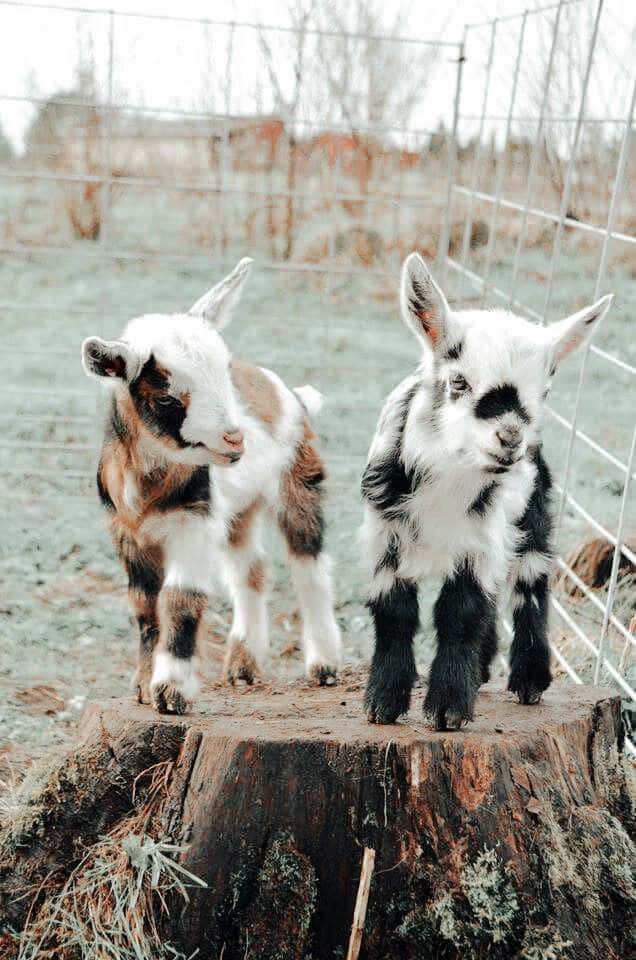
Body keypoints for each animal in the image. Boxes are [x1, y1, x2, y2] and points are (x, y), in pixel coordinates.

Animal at [81, 258, 342, 714]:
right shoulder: (126, 532)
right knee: (252, 570)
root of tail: (290, 393)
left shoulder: (194, 521)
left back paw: (324, 665)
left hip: (299, 479)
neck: (150, 486)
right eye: (166, 397)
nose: (234, 439)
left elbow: (180, 597)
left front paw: (171, 690)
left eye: (224, 374)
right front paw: (142, 684)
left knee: (309, 565)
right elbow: (144, 604)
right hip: (240, 509)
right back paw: (243, 666)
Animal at [361, 252, 613, 731]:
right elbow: (395, 610)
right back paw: (481, 669)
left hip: (532, 515)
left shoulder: (482, 537)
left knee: (531, 584)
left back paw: (529, 679)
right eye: (458, 381)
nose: (511, 437)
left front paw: (448, 709)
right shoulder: (385, 533)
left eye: (545, 390)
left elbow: (461, 612)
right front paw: (383, 702)